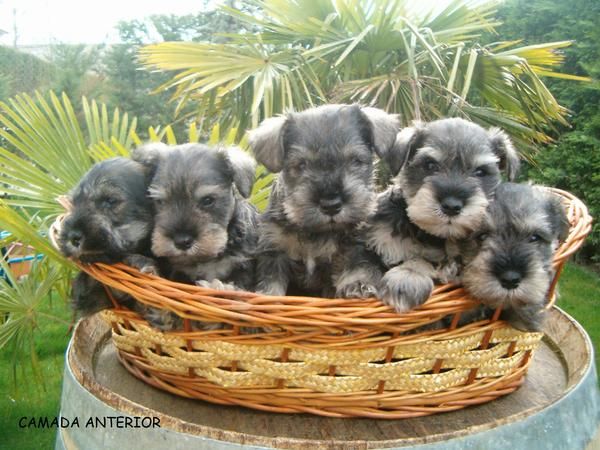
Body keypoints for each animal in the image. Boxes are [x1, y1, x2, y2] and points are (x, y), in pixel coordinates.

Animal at [248, 103, 398, 298]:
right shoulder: (274, 249)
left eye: (356, 160)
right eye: (301, 164)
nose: (331, 205)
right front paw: (268, 297)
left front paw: (358, 285)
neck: (316, 231)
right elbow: (271, 283)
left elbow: (357, 266)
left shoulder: (353, 245)